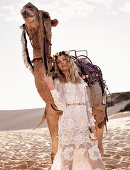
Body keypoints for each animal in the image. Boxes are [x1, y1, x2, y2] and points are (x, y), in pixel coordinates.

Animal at [20, 2, 106, 162]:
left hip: (99, 108)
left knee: (99, 138)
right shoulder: (51, 116)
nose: (27, 6)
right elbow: (55, 152)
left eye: (46, 15)